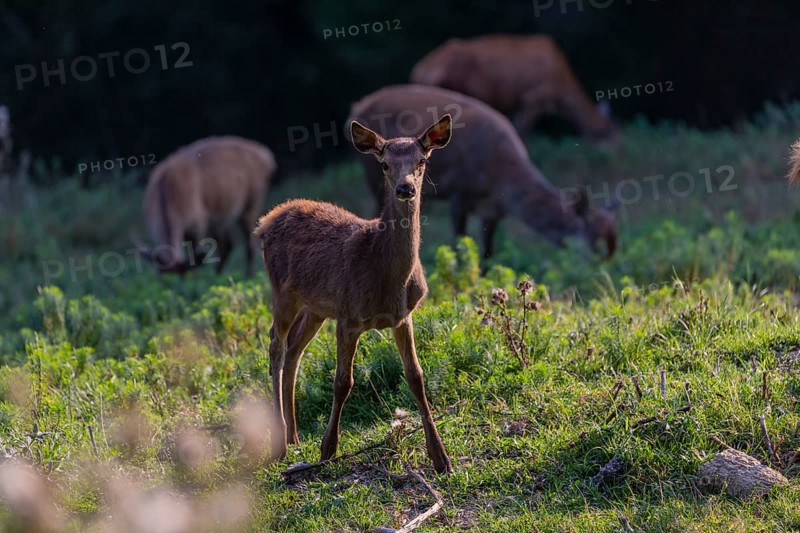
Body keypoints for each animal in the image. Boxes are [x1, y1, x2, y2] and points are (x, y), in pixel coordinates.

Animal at [138, 136, 276, 276]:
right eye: (160, 276)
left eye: (184, 275)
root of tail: (267, 157)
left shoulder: (198, 219)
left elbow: (194, 254)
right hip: (220, 217)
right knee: (228, 244)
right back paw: (218, 274)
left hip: (252, 203)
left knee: (248, 244)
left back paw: (248, 275)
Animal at [255, 115, 454, 474]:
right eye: (385, 164)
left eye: (422, 161)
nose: (406, 188)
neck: (386, 277)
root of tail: (265, 221)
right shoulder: (348, 317)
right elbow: (342, 382)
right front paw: (328, 449)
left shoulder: (402, 317)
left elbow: (416, 377)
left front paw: (440, 457)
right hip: (281, 291)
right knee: (276, 345)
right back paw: (279, 444)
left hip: (316, 307)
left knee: (293, 350)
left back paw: (293, 436)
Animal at [348, 85, 619, 260]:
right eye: (594, 245)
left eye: (610, 246)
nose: (602, 270)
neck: (498, 177)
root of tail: (357, 106)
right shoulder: (459, 192)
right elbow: (459, 247)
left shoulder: (494, 211)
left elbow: (488, 255)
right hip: (372, 177)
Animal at [411, 34, 619, 144]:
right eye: (608, 131)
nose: (617, 155)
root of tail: (421, 71)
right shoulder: (534, 97)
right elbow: (524, 132)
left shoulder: (516, 103)